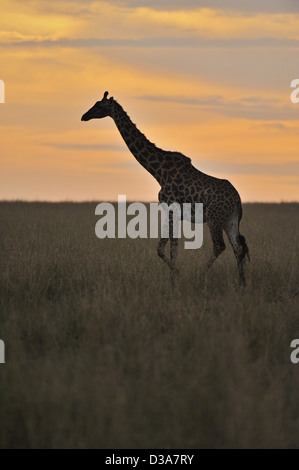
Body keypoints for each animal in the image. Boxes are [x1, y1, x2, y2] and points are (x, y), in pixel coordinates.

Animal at [82, 90, 251, 284]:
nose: (84, 116)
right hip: (230, 219)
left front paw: (175, 276)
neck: (158, 172)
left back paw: (202, 274)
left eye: (99, 106)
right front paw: (173, 278)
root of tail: (237, 199)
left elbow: (163, 249)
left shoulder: (171, 209)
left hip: (214, 218)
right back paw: (242, 283)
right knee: (238, 248)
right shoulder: (175, 213)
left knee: (220, 246)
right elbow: (172, 248)